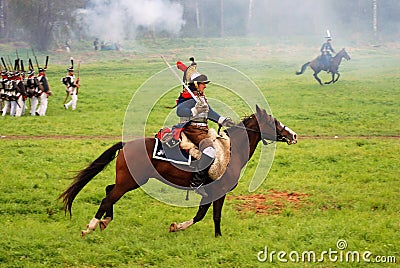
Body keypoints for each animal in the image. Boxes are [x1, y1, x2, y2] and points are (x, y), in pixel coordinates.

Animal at [58, 105, 296, 238]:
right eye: (273, 121)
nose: (293, 135)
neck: (231, 150)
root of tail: (126, 144)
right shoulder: (218, 192)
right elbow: (213, 215)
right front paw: (218, 236)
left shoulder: (209, 193)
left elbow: (200, 215)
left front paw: (177, 227)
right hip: (130, 182)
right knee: (108, 198)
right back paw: (90, 227)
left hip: (128, 181)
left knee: (109, 191)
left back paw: (104, 221)